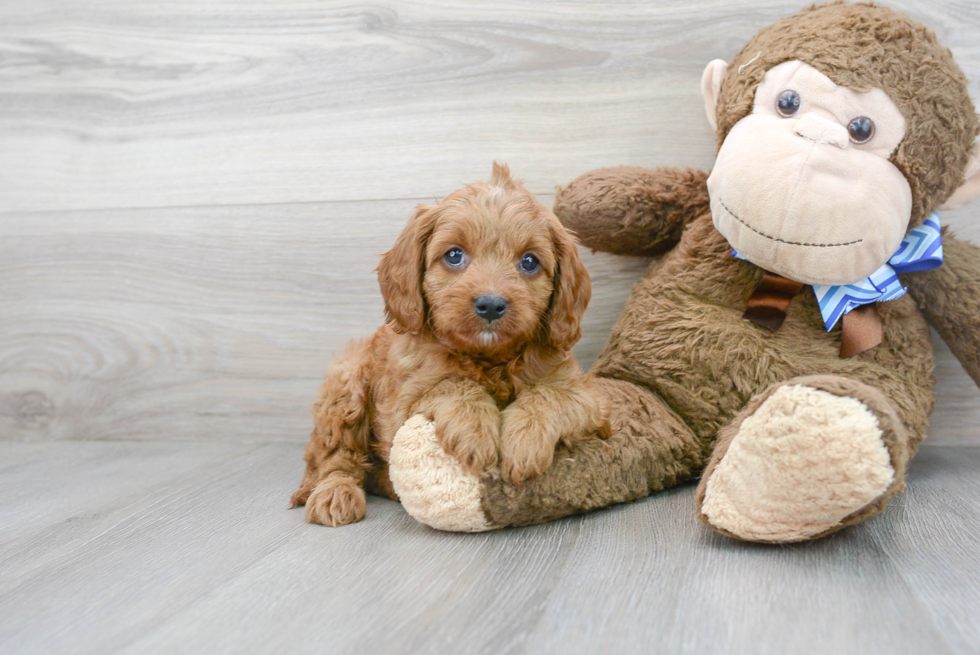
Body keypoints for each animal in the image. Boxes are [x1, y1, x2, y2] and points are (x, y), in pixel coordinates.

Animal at [290, 164, 608, 528]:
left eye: (529, 262)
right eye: (454, 255)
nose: (491, 305)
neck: (489, 359)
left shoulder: (589, 399)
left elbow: (549, 394)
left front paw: (524, 441)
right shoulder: (401, 405)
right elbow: (452, 384)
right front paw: (475, 430)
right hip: (346, 385)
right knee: (334, 458)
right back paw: (334, 494)